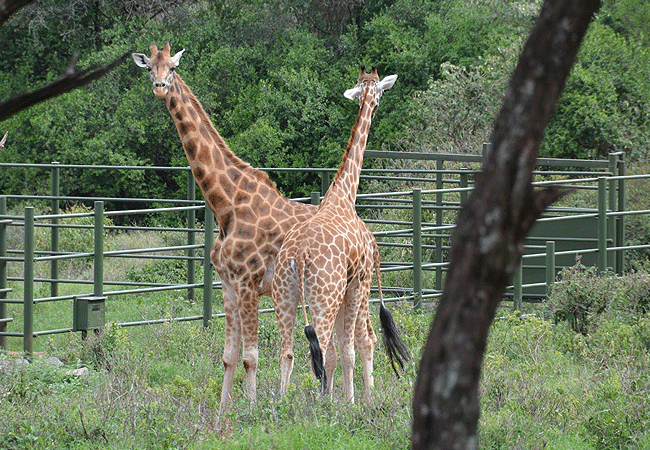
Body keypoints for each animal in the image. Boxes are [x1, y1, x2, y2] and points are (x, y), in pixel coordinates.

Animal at [270, 67, 408, 400]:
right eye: (379, 92)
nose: (376, 104)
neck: (345, 195)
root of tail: (298, 256)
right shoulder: (359, 281)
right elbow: (353, 347)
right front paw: (357, 401)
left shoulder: (346, 287)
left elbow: (341, 350)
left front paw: (344, 398)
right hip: (326, 296)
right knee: (319, 348)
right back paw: (323, 403)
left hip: (284, 295)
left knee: (287, 351)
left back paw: (278, 403)